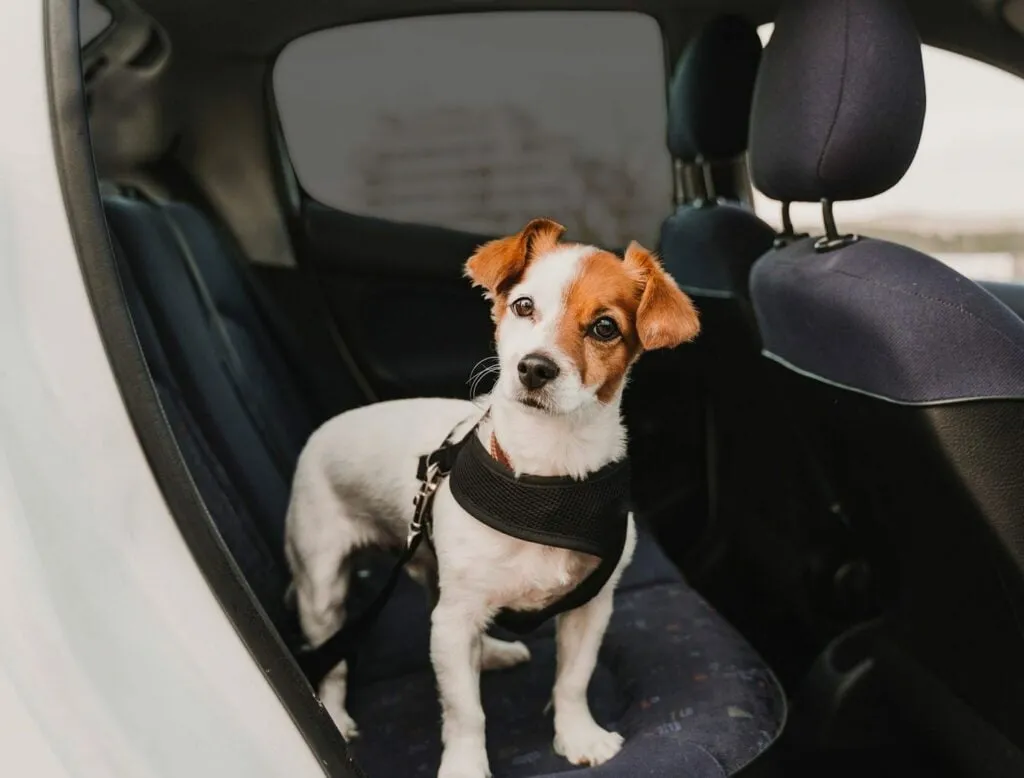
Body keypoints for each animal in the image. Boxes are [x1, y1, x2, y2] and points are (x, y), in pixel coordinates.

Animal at [284, 219, 700, 778]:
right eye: (523, 306)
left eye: (604, 328)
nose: (535, 368)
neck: (545, 477)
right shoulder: (456, 620)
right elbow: (466, 711)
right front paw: (465, 766)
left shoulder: (591, 607)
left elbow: (573, 678)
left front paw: (578, 735)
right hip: (323, 588)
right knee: (333, 658)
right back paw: (337, 715)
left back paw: (492, 653)